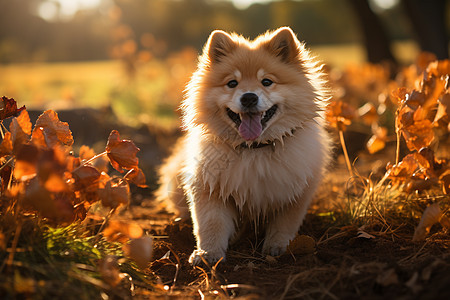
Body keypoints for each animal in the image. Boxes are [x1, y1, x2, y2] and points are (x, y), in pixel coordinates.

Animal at [157, 27, 330, 264]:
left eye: (266, 82)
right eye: (232, 83)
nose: (249, 97)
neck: (253, 149)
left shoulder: (294, 193)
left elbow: (284, 224)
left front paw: (278, 247)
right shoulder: (209, 188)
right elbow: (210, 224)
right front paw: (208, 254)